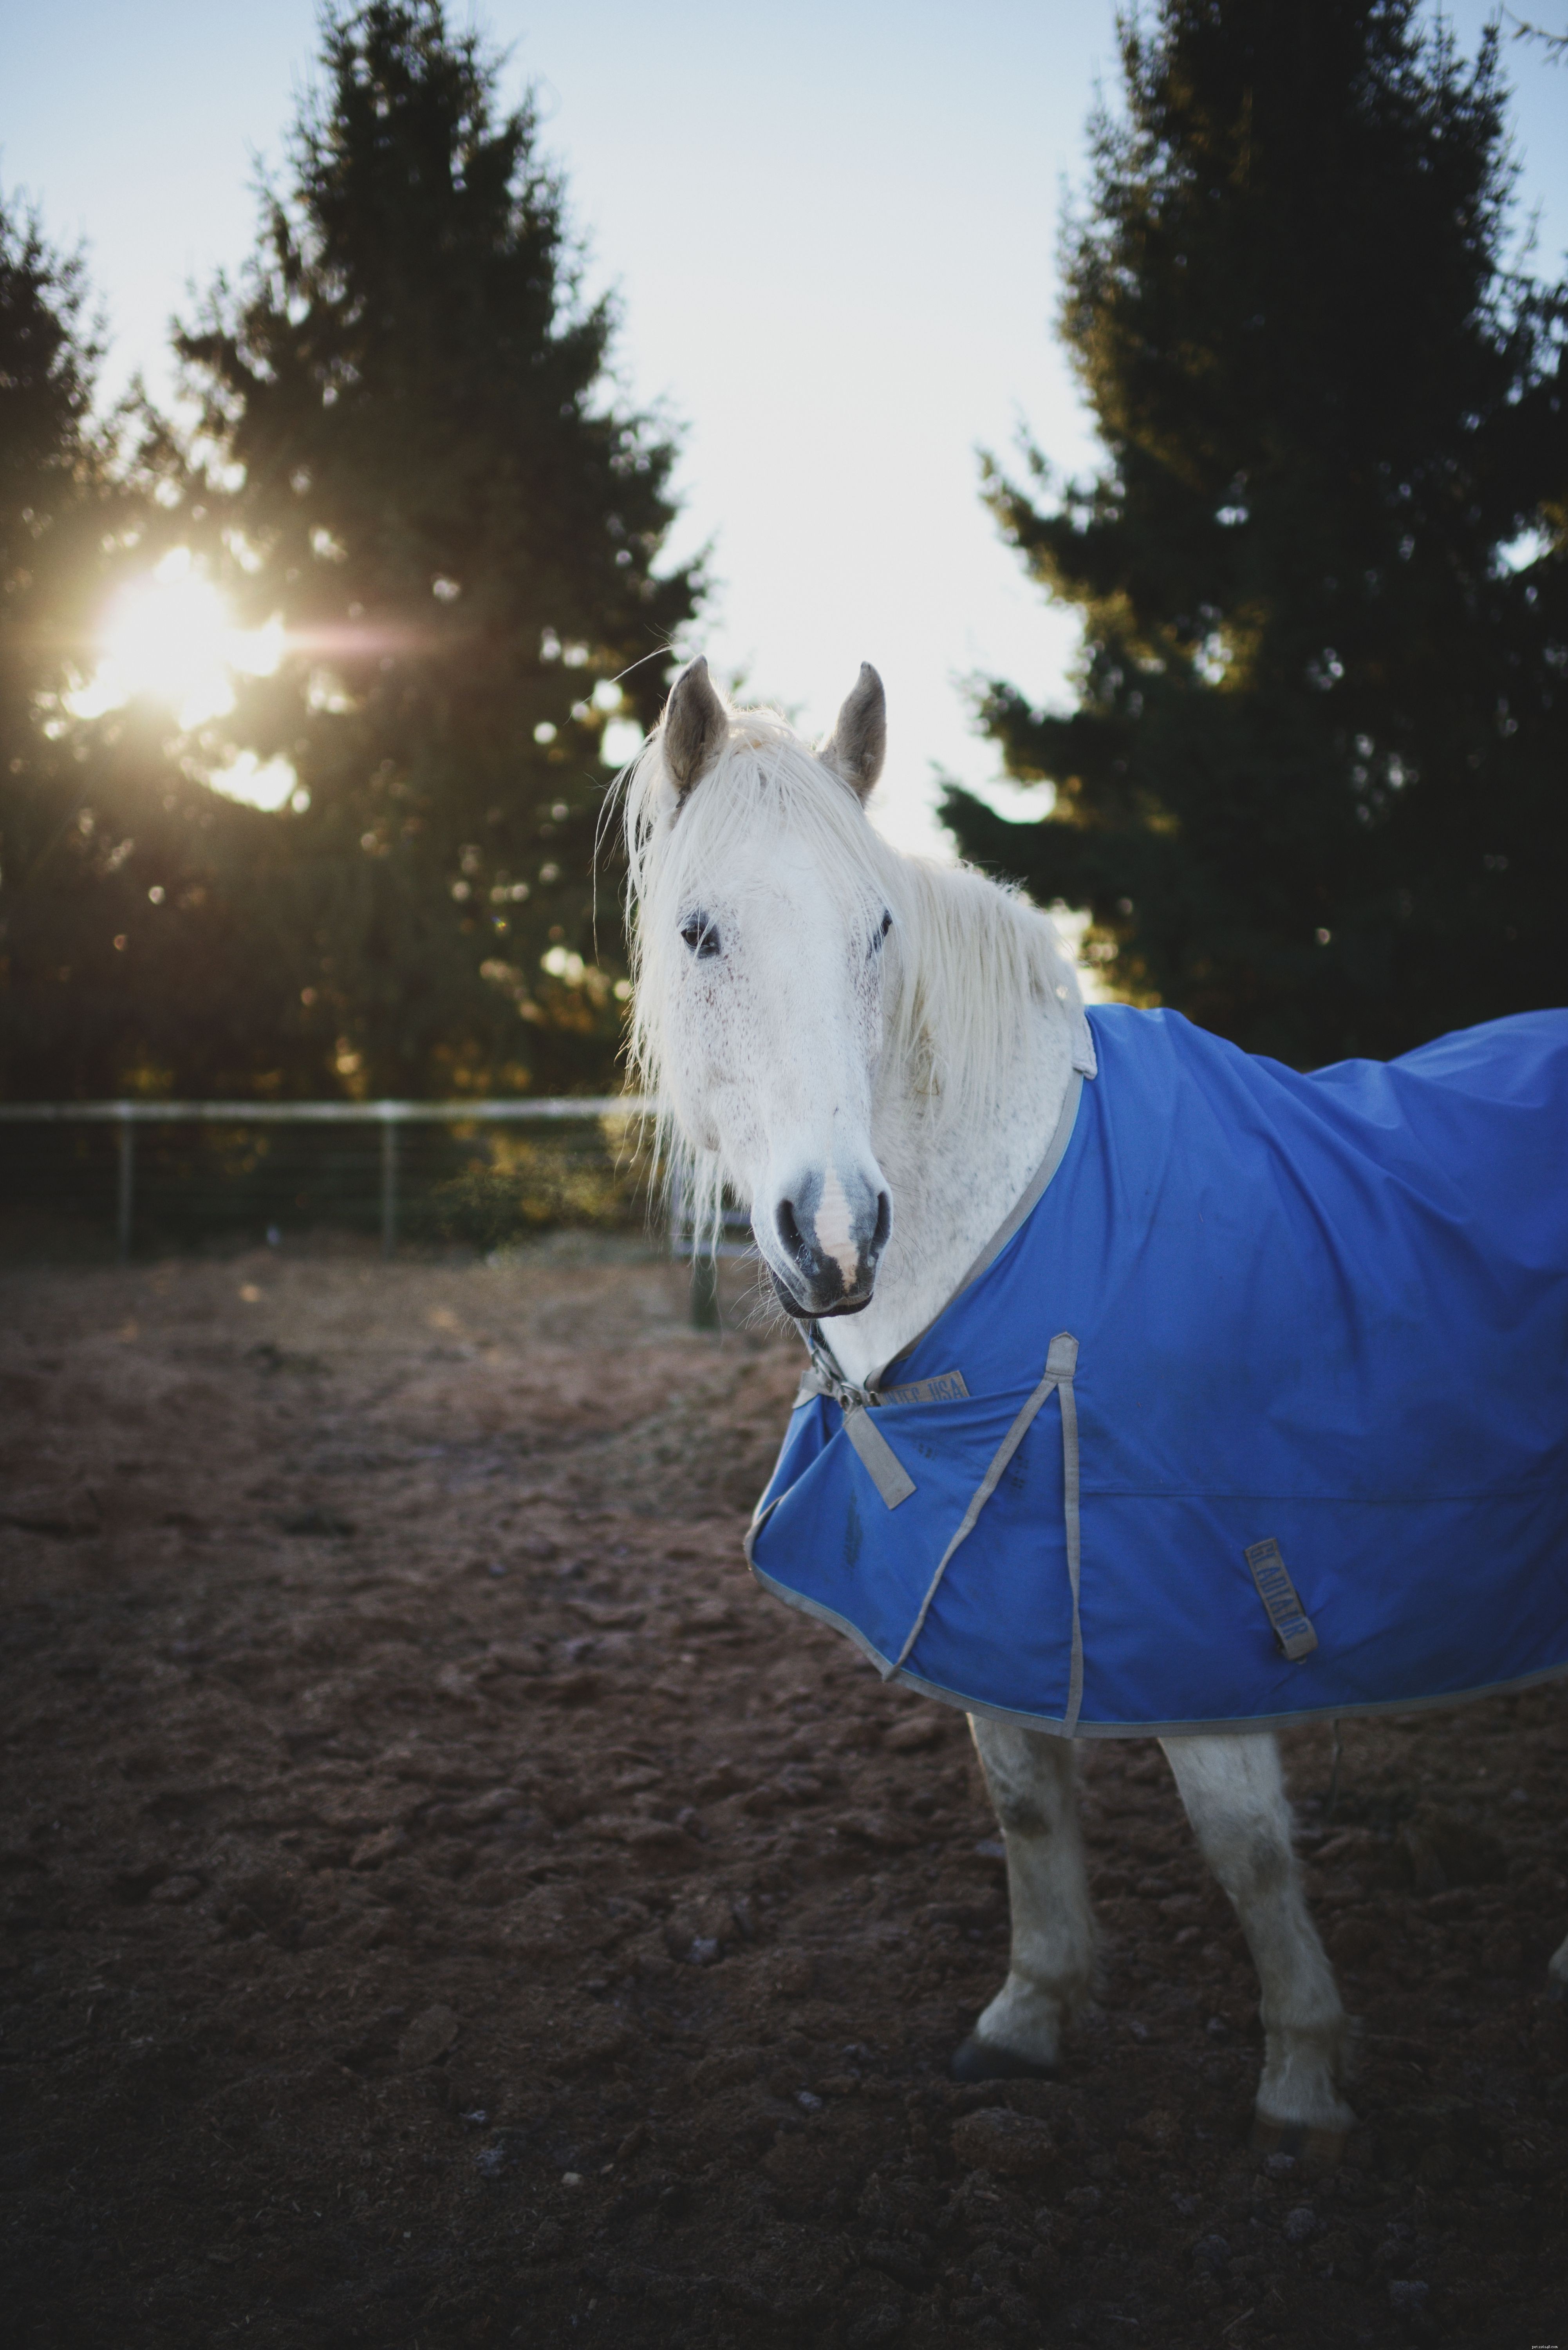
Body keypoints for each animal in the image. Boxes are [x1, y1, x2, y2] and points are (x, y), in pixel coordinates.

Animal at [620, 653, 1568, 2156]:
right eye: (700, 934)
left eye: (877, 927)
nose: (834, 1235)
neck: (1019, 1214)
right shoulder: (975, 1572)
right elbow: (1023, 1805)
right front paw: (1028, 2015)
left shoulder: (1197, 1597)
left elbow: (1242, 1841)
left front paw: (1300, 2076)